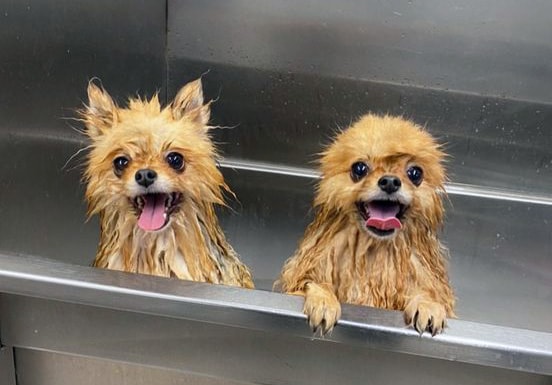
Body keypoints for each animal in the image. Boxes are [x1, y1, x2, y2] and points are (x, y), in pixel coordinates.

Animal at [276, 113, 452, 332]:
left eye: (415, 173)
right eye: (359, 168)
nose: (390, 181)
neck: (372, 249)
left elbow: (424, 291)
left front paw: (427, 305)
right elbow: (313, 283)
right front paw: (323, 300)